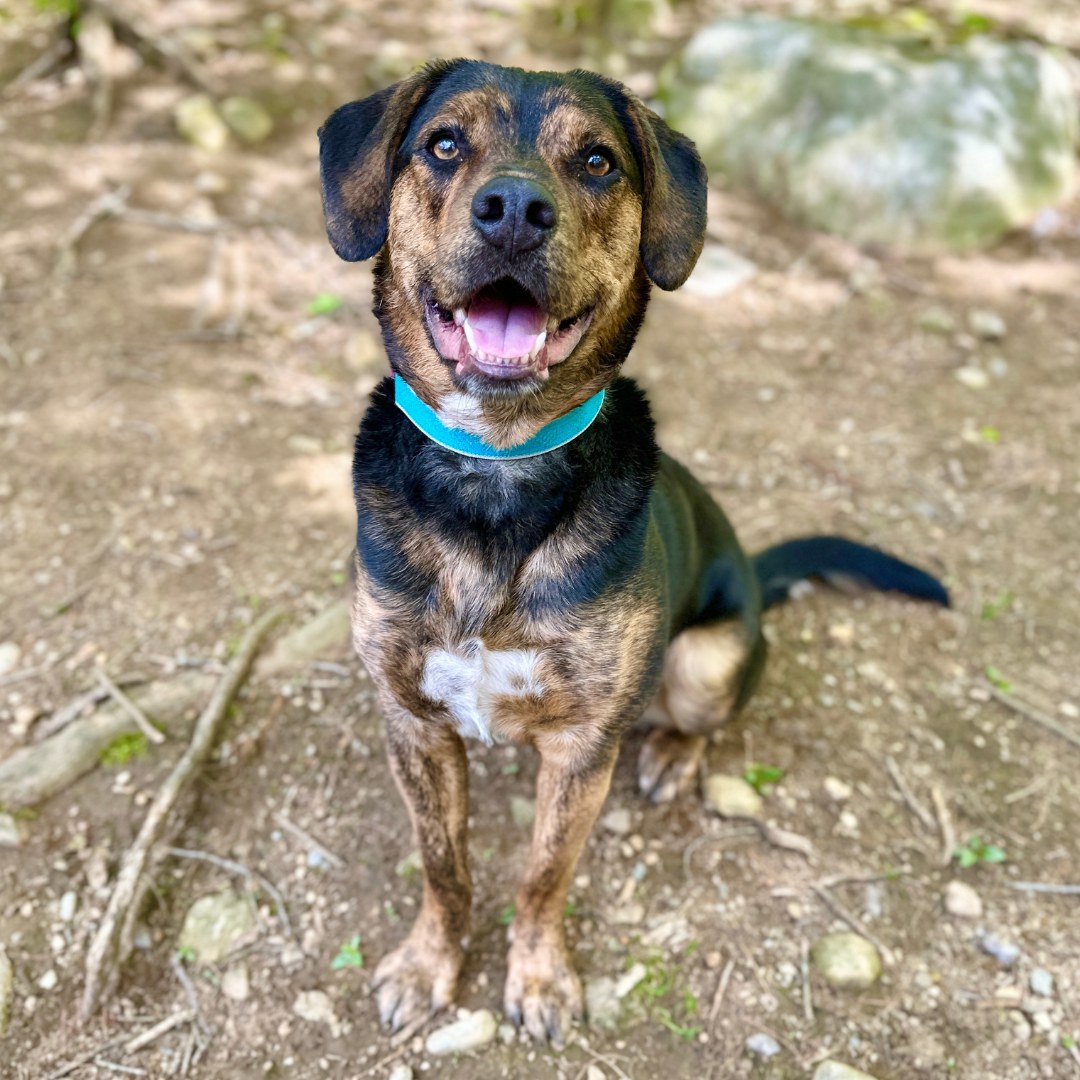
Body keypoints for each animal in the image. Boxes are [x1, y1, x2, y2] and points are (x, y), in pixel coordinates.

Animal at [315, 59, 950, 1045]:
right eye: (444, 145)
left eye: (597, 162)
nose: (513, 209)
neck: (497, 467)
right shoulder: (412, 723)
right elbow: (445, 867)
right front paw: (429, 964)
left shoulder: (582, 750)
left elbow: (543, 875)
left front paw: (539, 977)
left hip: (704, 662)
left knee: (699, 717)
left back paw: (672, 757)